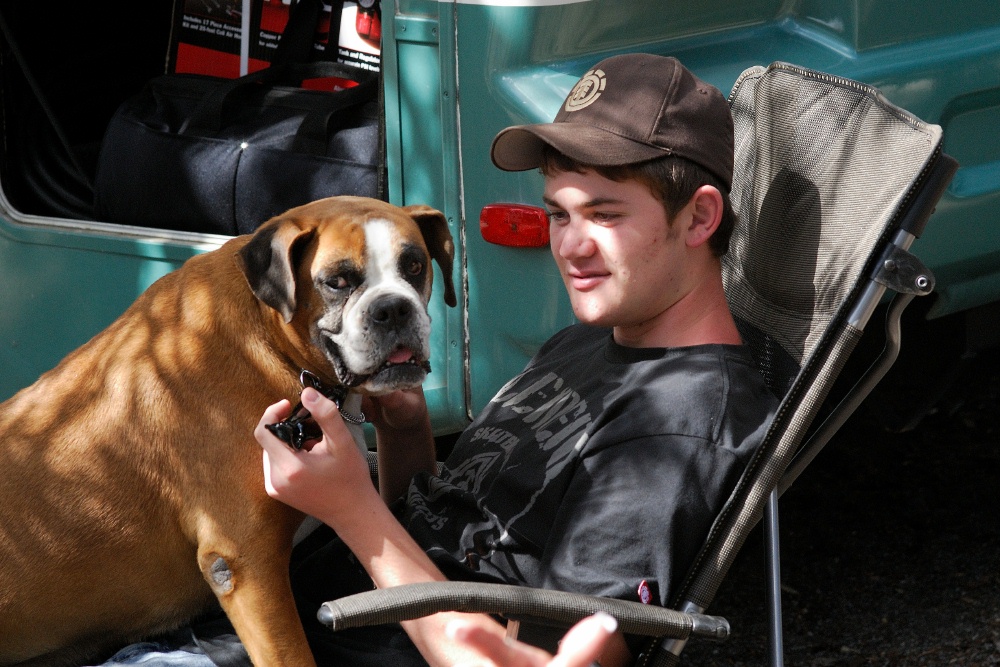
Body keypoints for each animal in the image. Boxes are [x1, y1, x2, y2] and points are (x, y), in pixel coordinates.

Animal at [0, 196, 458, 664]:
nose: (393, 307)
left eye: (415, 265)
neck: (276, 345)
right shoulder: (244, 562)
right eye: (337, 281)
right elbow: (291, 654)